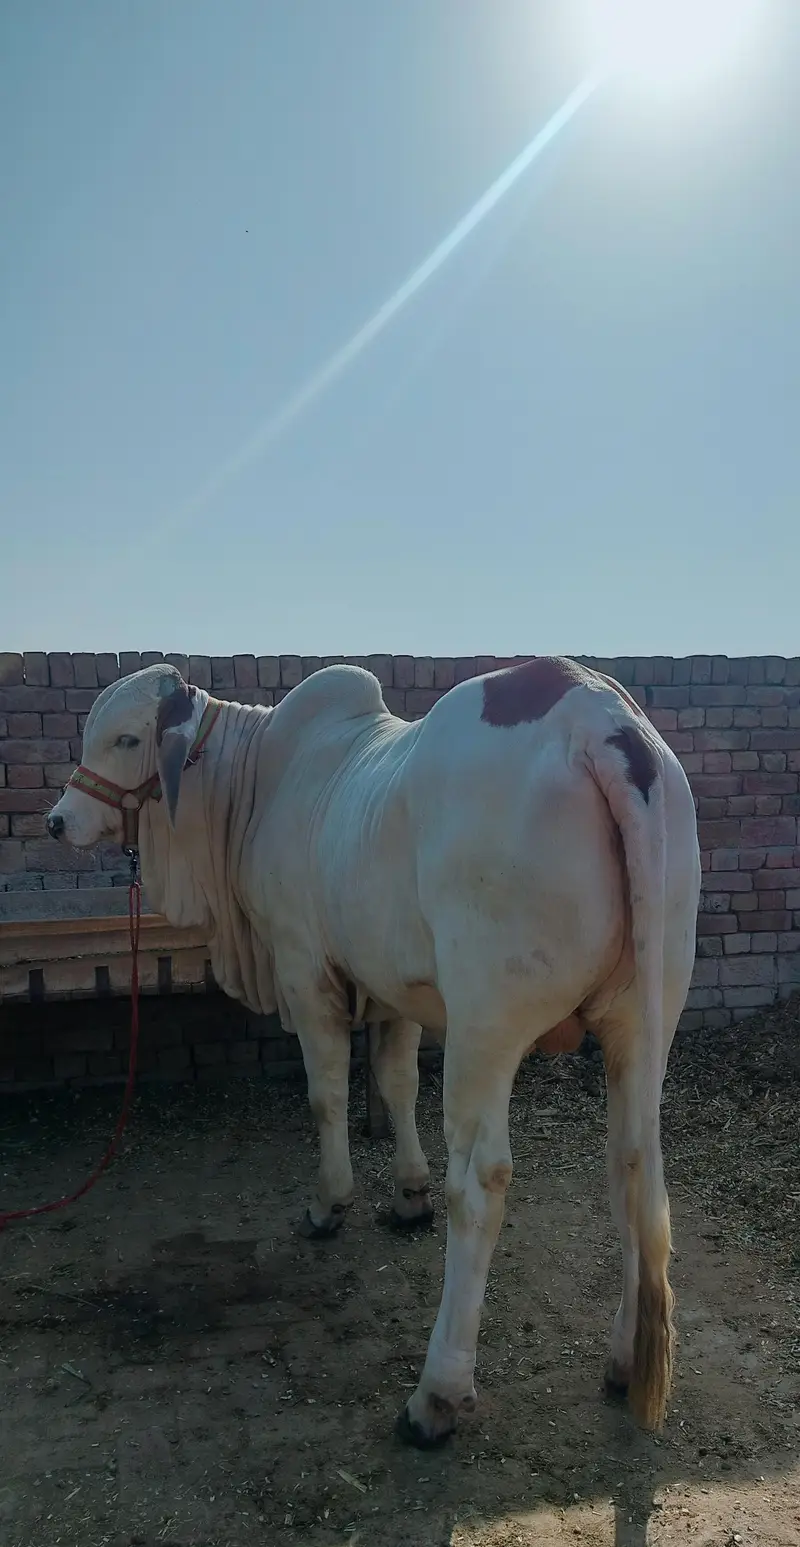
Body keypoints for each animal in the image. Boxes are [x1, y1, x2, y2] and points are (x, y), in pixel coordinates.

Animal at [46, 656, 700, 1448]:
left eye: (126, 736)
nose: (57, 820)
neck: (257, 779)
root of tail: (600, 718)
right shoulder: (397, 988)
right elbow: (393, 1082)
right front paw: (407, 1194)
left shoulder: (306, 971)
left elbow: (326, 1095)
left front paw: (330, 1203)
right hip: (646, 1016)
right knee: (632, 1165)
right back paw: (624, 1358)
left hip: (486, 1025)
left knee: (480, 1184)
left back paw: (436, 1395)